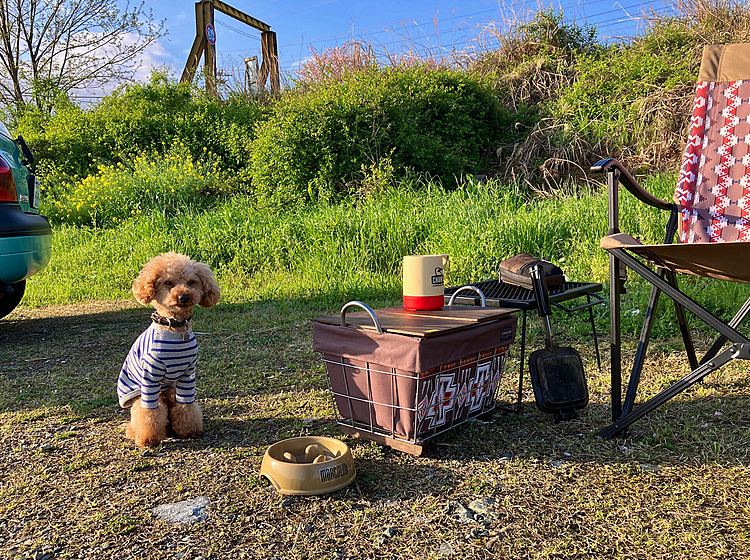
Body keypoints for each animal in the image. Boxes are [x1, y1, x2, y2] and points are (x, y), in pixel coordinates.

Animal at [116, 252, 219, 448]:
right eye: (168, 282)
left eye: (192, 282)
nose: (184, 296)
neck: (175, 328)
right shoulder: (150, 377)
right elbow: (149, 413)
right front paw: (149, 438)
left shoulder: (187, 374)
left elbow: (186, 405)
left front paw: (189, 430)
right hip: (141, 394)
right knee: (137, 416)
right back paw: (134, 432)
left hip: (171, 388)